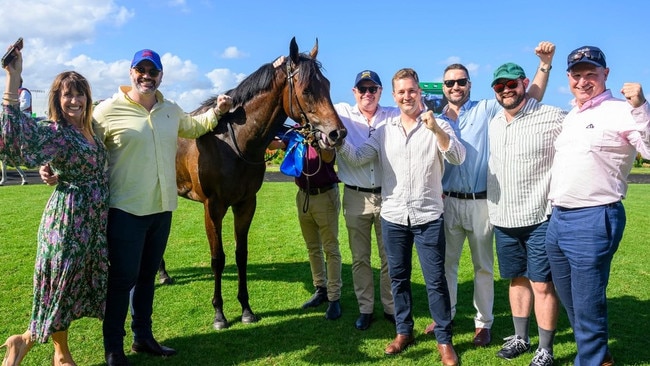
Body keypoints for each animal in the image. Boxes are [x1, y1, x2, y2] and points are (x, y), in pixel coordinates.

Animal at [170, 37, 346, 328]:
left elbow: (241, 254)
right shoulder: (212, 207)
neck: (232, 143)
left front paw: (246, 309)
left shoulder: (245, 203)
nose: (337, 134)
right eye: (308, 89)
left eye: (329, 85)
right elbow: (218, 258)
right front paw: (219, 314)